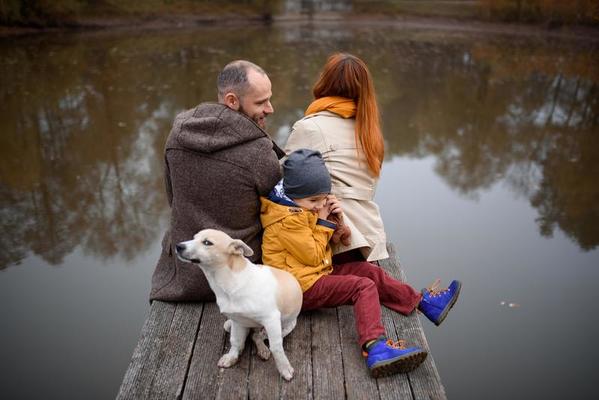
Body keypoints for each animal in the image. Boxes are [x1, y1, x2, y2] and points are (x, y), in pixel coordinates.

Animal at [176, 230, 302, 380]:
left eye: (207, 242)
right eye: (193, 238)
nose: (178, 246)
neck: (228, 281)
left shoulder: (271, 319)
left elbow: (276, 348)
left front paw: (284, 369)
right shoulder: (237, 320)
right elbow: (235, 341)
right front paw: (232, 357)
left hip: (285, 327)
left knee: (259, 336)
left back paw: (263, 349)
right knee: (252, 335)